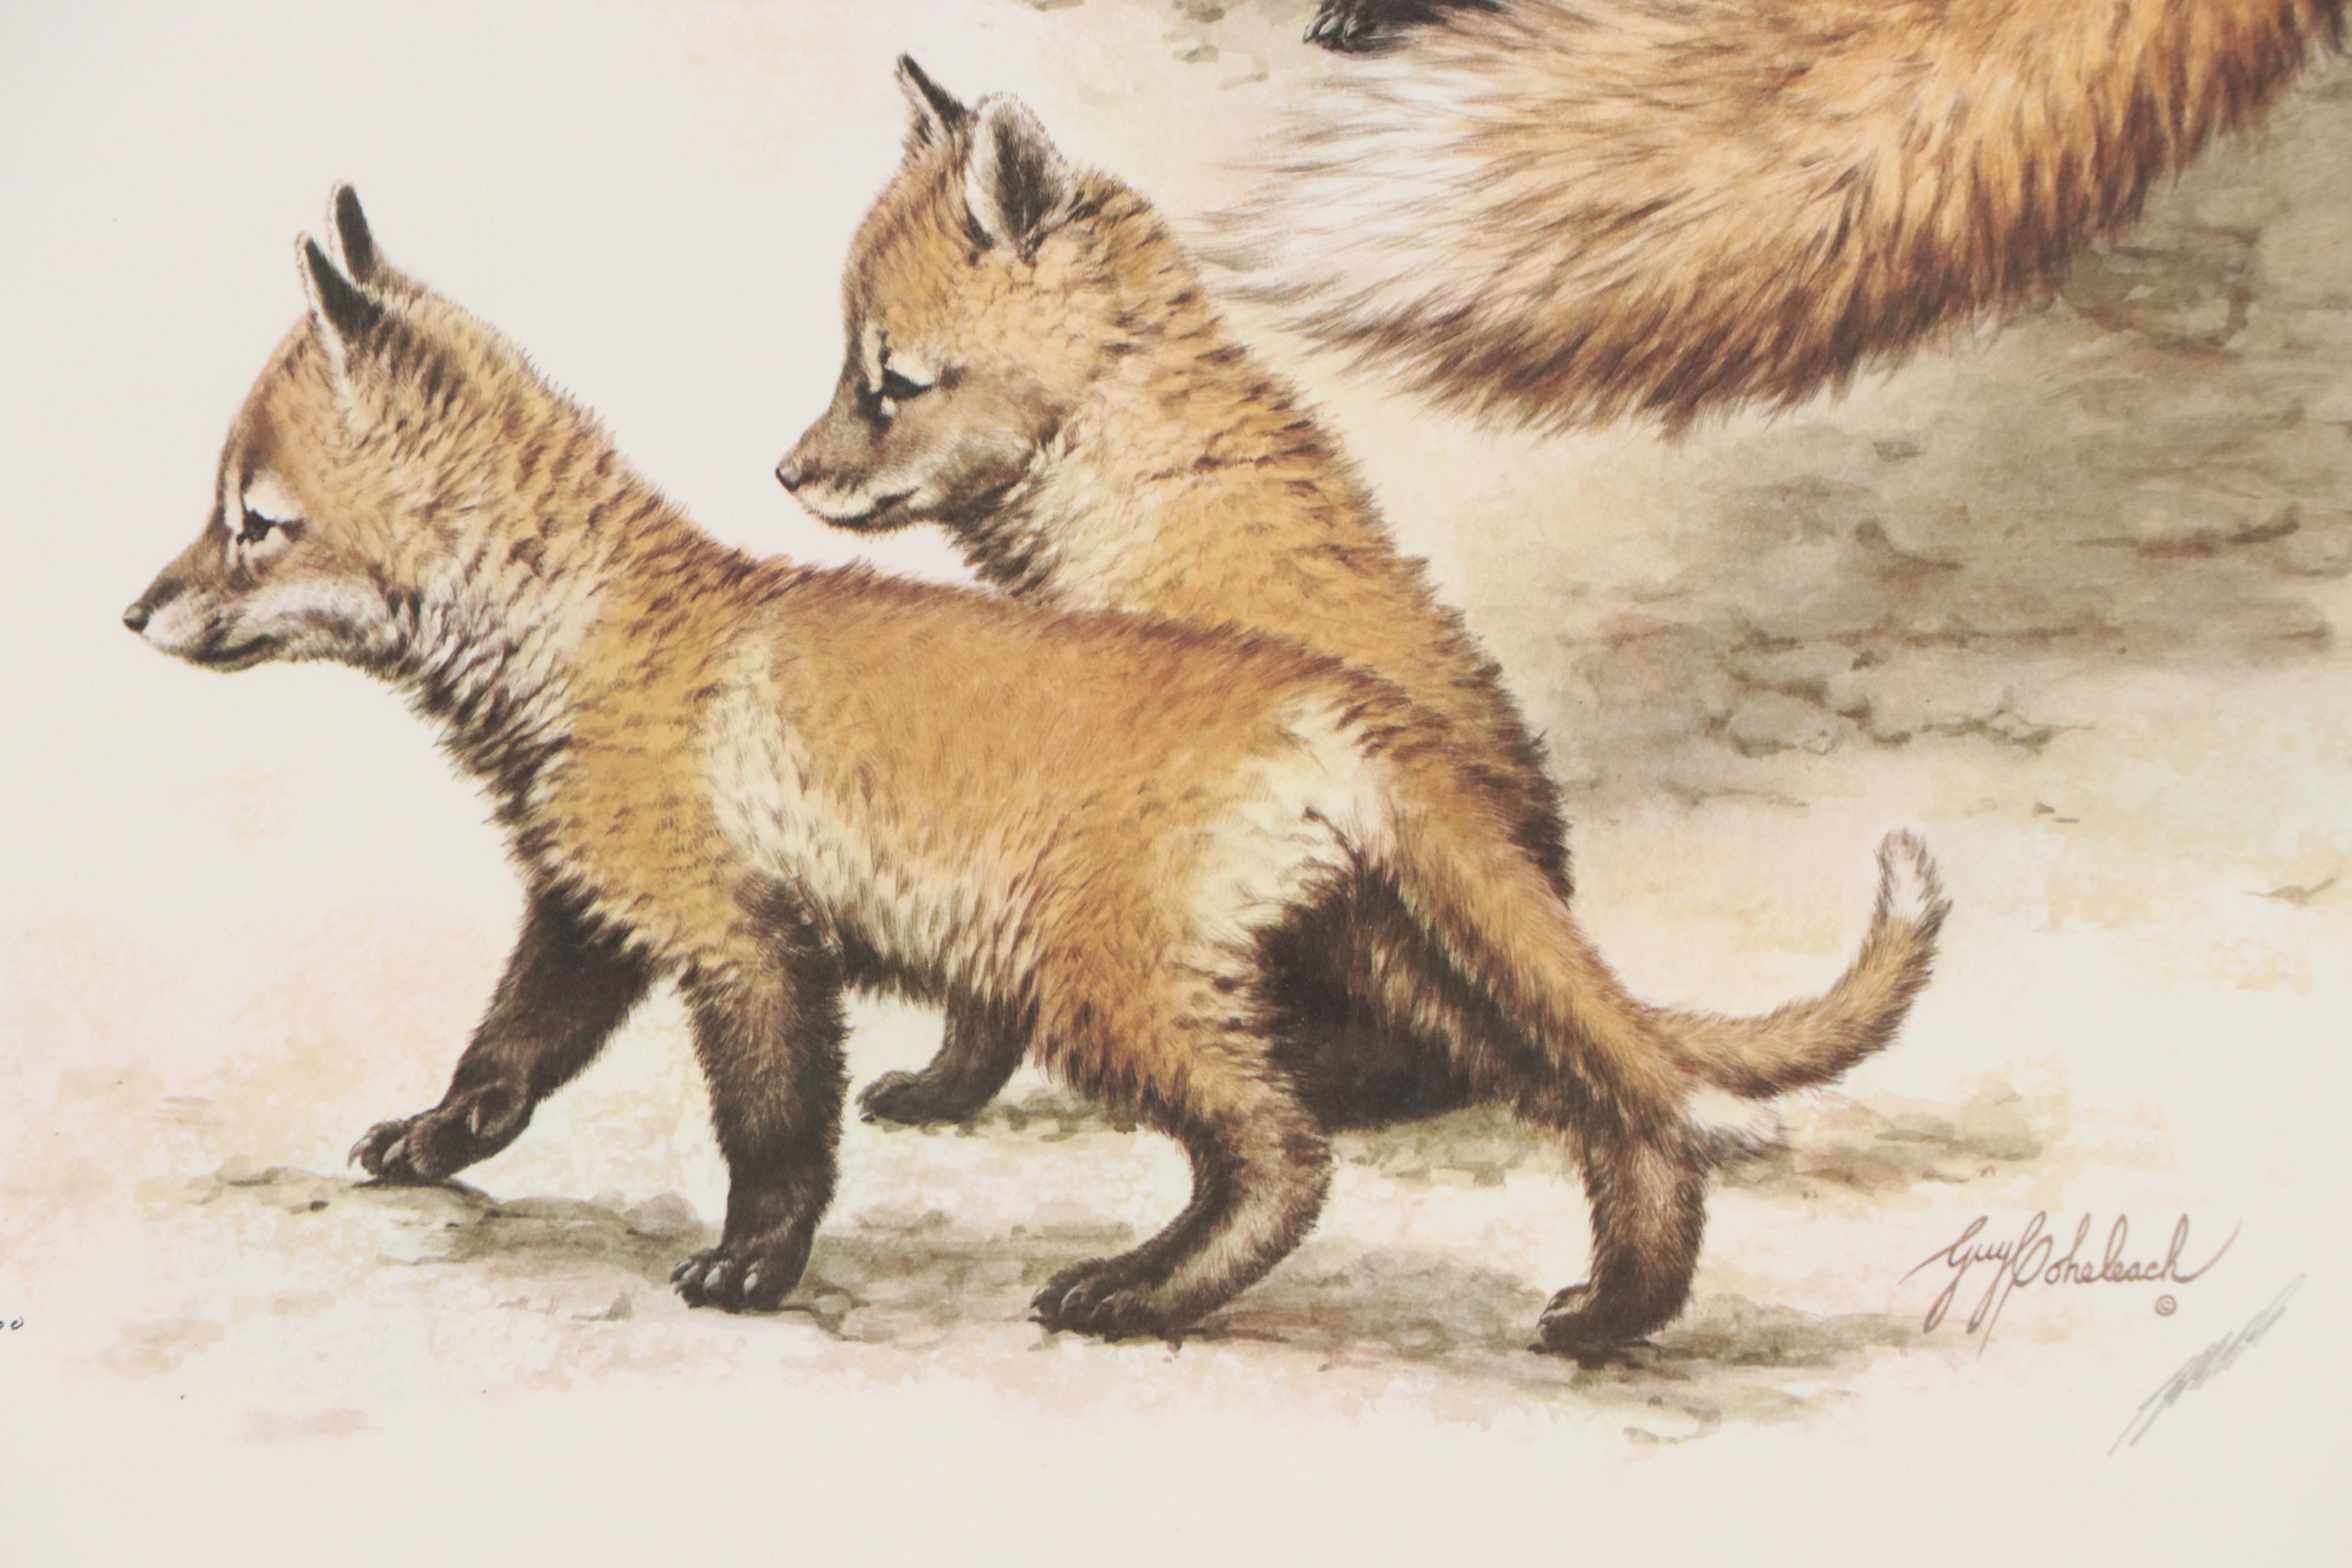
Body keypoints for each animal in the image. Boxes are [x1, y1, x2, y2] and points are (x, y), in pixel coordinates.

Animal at [124, 186, 1946, 1355]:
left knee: (1290, 1158)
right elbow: (503, 1060)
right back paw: (1613, 1316)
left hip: (1112, 987)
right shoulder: (592, 911)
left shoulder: (741, 942)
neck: (592, 647)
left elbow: (775, 1138)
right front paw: (427, 1146)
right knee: (1622, 1113)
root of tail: (1337, 702)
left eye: (253, 522)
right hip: (1396, 958)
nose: (132, 614)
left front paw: (752, 1270)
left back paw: (1137, 1293)